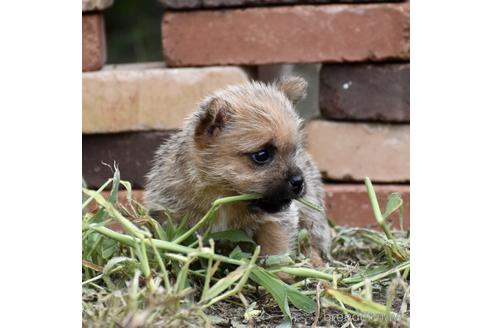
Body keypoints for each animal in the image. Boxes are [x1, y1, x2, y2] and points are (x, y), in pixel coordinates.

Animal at [144, 77, 332, 262]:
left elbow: (274, 252)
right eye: (262, 155)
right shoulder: (170, 215)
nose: (299, 182)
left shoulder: (276, 221)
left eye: (294, 150)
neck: (223, 198)